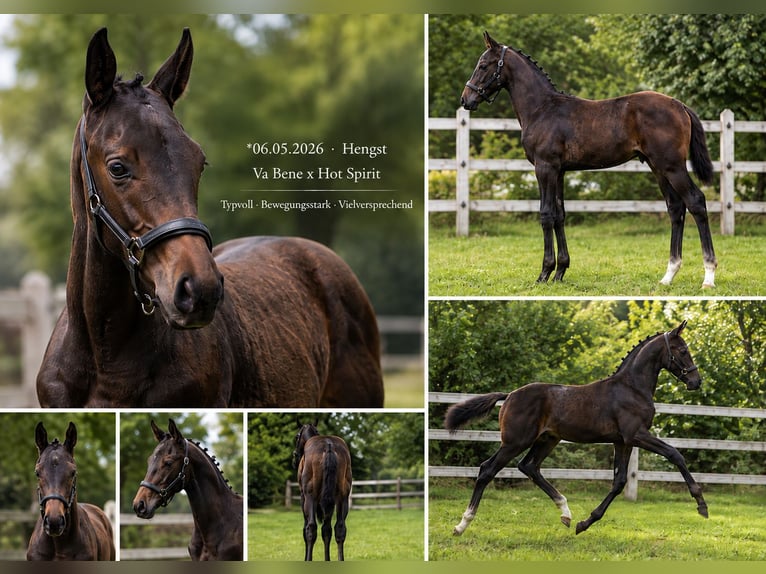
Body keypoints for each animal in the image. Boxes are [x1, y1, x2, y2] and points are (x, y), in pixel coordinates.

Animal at [292, 421, 352, 561]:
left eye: (297, 436)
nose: (295, 456)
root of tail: (328, 446)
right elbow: (326, 530)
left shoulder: (303, 498)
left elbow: (306, 528)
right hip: (342, 498)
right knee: (339, 527)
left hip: (310, 498)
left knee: (311, 528)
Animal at [445, 320, 709, 536]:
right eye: (683, 351)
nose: (696, 382)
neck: (632, 388)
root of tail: (508, 395)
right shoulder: (636, 435)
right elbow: (675, 454)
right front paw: (701, 504)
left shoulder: (622, 441)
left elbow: (619, 481)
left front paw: (585, 523)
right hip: (515, 442)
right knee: (487, 470)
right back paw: (461, 525)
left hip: (547, 439)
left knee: (529, 467)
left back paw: (566, 514)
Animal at [461, 31, 718, 289]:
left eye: (483, 65)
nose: (466, 99)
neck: (542, 109)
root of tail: (679, 105)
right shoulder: (559, 171)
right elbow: (559, 215)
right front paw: (560, 271)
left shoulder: (545, 168)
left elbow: (546, 214)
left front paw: (545, 272)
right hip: (658, 168)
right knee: (675, 208)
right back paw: (668, 275)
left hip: (672, 166)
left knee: (696, 202)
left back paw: (708, 276)